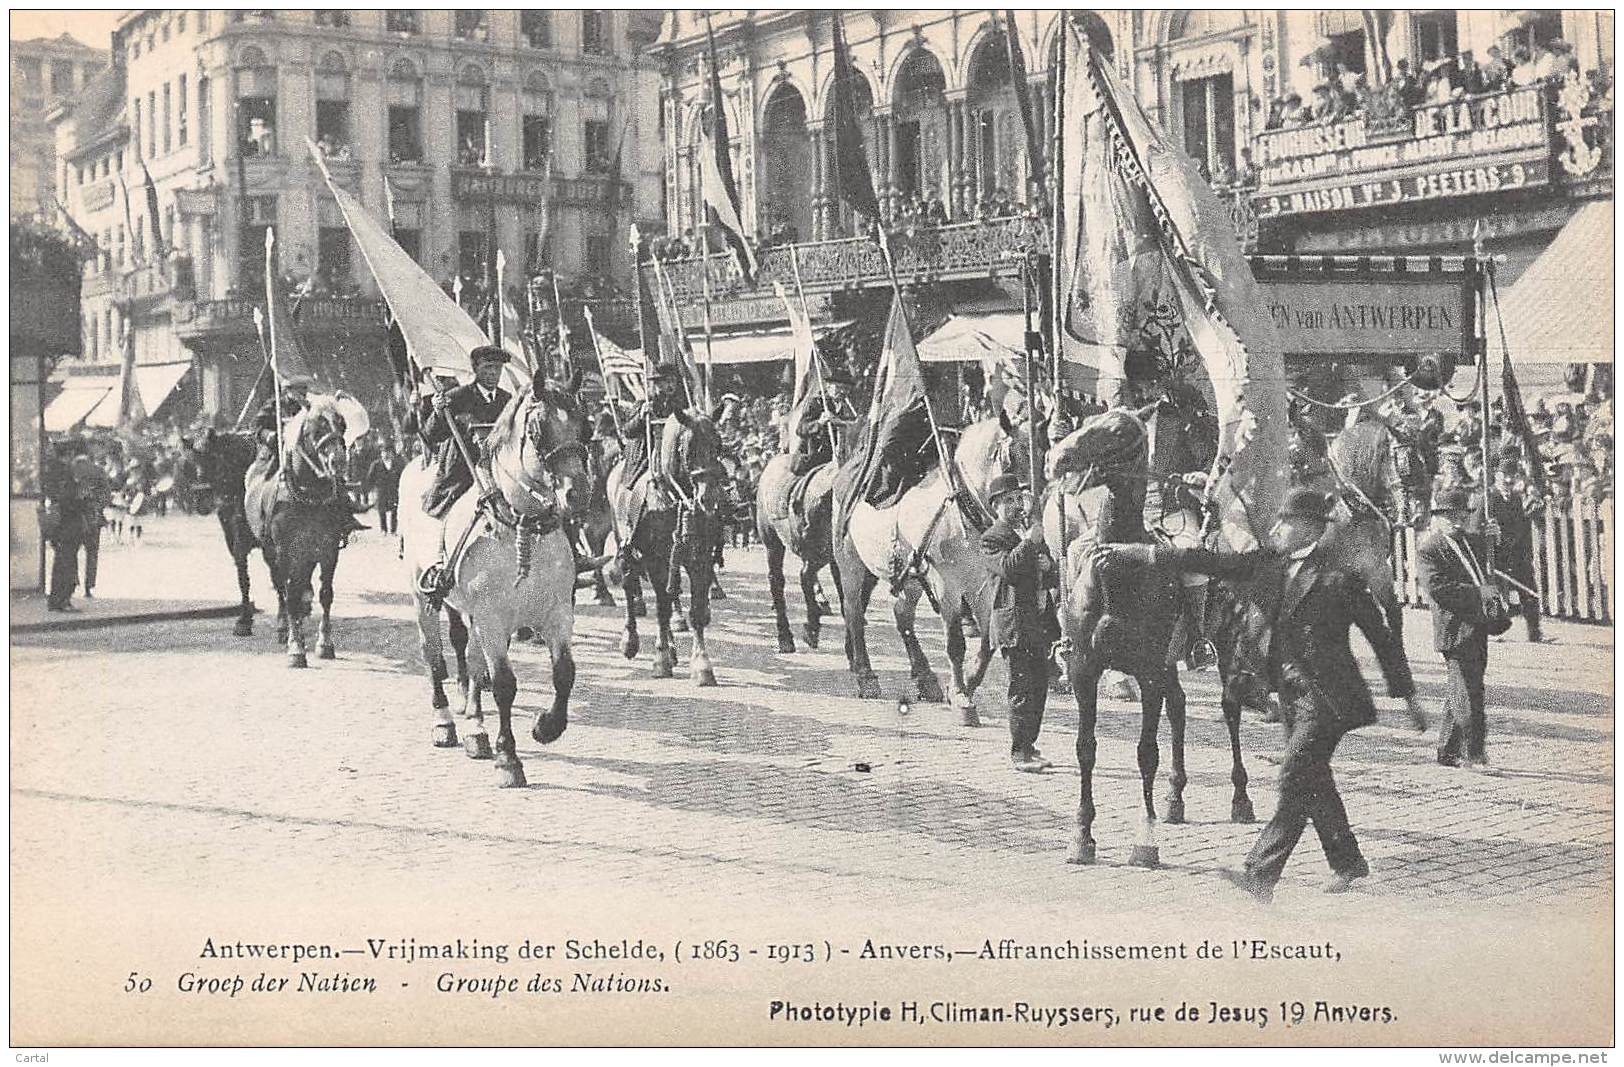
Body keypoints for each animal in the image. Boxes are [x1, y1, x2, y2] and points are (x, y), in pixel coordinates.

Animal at [186, 428, 259, 636]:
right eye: (191, 461)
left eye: (213, 458)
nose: (201, 501)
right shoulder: (234, 539)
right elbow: (243, 577)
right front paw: (244, 620)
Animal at [240, 399, 355, 665]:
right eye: (315, 429)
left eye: (343, 425)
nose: (338, 461)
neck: (310, 494)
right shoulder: (284, 551)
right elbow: (289, 594)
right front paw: (296, 648)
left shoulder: (328, 549)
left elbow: (325, 594)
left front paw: (325, 644)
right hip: (272, 553)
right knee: (282, 588)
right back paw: (284, 628)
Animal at [396, 371, 594, 782]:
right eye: (537, 431)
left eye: (586, 427)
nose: (578, 494)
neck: (522, 529)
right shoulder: (492, 618)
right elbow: (503, 684)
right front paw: (509, 758)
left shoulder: (557, 615)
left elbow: (564, 673)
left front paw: (546, 727)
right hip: (423, 598)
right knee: (433, 656)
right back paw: (445, 723)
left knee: (471, 662)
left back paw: (476, 729)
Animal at [610, 407, 730, 682]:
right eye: (688, 448)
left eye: (718, 444)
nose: (709, 499)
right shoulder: (656, 559)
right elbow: (662, 606)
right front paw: (661, 658)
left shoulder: (699, 556)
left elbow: (697, 610)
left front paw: (701, 664)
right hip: (625, 545)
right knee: (630, 583)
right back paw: (630, 640)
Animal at [831, 412, 1045, 721]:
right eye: (1011, 458)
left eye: (1040, 456)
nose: (1028, 512)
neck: (962, 509)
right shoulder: (947, 584)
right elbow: (956, 643)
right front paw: (961, 697)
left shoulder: (982, 583)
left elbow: (986, 640)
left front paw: (967, 683)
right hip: (852, 565)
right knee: (854, 612)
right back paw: (865, 675)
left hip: (911, 577)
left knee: (902, 615)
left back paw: (925, 677)